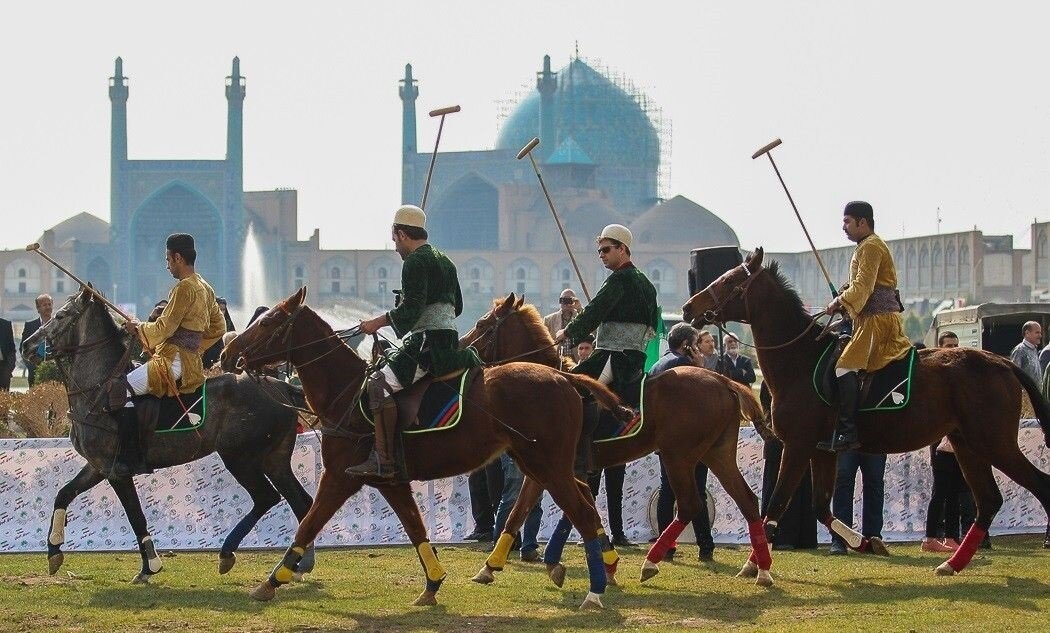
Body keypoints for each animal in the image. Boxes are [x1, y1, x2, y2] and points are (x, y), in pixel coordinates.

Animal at [20, 287, 315, 583]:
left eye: (60, 315)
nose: (26, 346)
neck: (99, 391)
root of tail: (282, 388)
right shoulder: (97, 466)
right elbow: (63, 494)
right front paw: (54, 549)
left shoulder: (117, 471)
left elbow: (136, 516)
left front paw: (149, 565)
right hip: (275, 459)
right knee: (303, 502)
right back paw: (297, 564)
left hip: (239, 457)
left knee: (266, 497)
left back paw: (229, 553)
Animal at [218, 289, 617, 613]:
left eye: (268, 322)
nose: (227, 352)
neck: (346, 393)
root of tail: (566, 376)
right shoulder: (390, 481)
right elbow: (415, 528)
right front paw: (432, 584)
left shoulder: (338, 477)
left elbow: (308, 524)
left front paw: (271, 581)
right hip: (537, 461)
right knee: (575, 500)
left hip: (548, 465)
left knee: (582, 511)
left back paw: (595, 591)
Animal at [464, 293, 776, 587]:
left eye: (482, 325)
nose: (460, 348)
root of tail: (723, 380)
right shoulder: (547, 469)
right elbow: (522, 512)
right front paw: (492, 566)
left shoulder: (557, 468)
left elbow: (571, 511)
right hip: (716, 454)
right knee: (747, 501)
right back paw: (760, 569)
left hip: (679, 457)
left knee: (689, 505)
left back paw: (652, 562)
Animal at [680, 249, 1050, 575]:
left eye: (729, 280)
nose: (688, 307)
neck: (801, 360)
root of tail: (1001, 362)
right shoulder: (822, 451)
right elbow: (820, 506)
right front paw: (862, 541)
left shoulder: (797, 446)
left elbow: (777, 503)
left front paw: (756, 564)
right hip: (966, 445)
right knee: (988, 501)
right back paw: (951, 564)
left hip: (994, 444)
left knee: (1038, 484)